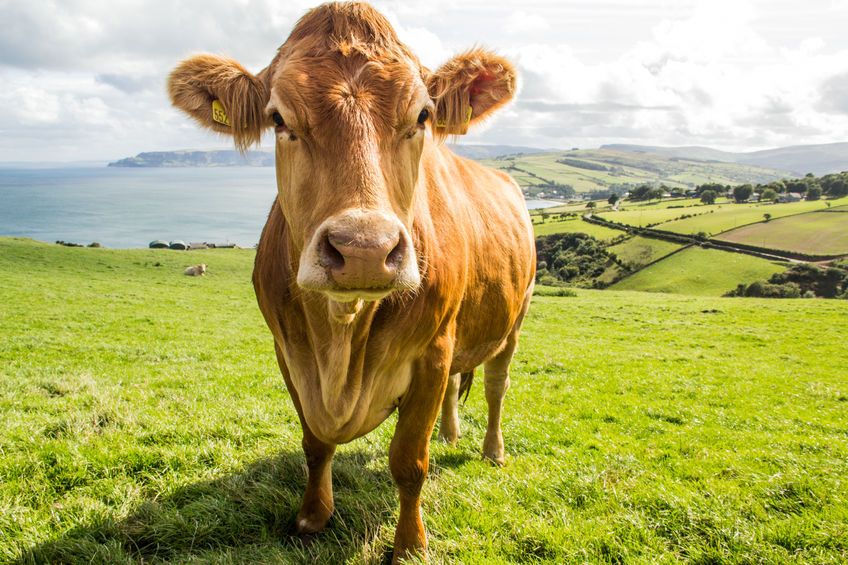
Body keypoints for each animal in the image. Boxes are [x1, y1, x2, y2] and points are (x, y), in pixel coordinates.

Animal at [168, 3, 532, 560]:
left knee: (496, 385)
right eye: (279, 118)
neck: (341, 341)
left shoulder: (431, 352)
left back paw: (492, 450)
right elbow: (315, 443)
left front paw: (410, 544)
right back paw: (450, 434)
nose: (364, 250)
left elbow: (409, 461)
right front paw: (312, 517)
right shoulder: (289, 353)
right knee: (459, 388)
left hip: (514, 319)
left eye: (422, 115)